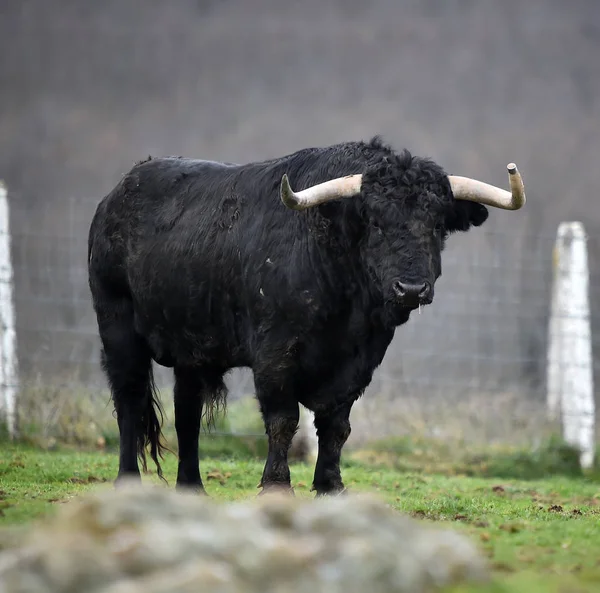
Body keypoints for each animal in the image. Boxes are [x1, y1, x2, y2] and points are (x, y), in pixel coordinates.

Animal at [86, 136, 524, 492]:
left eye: (436, 225)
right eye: (375, 222)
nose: (412, 288)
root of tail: (117, 194)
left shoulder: (360, 364)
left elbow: (336, 427)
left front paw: (331, 485)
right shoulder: (275, 354)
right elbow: (283, 420)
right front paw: (277, 485)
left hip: (190, 346)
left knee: (187, 412)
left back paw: (192, 487)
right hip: (117, 327)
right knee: (130, 401)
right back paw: (127, 482)